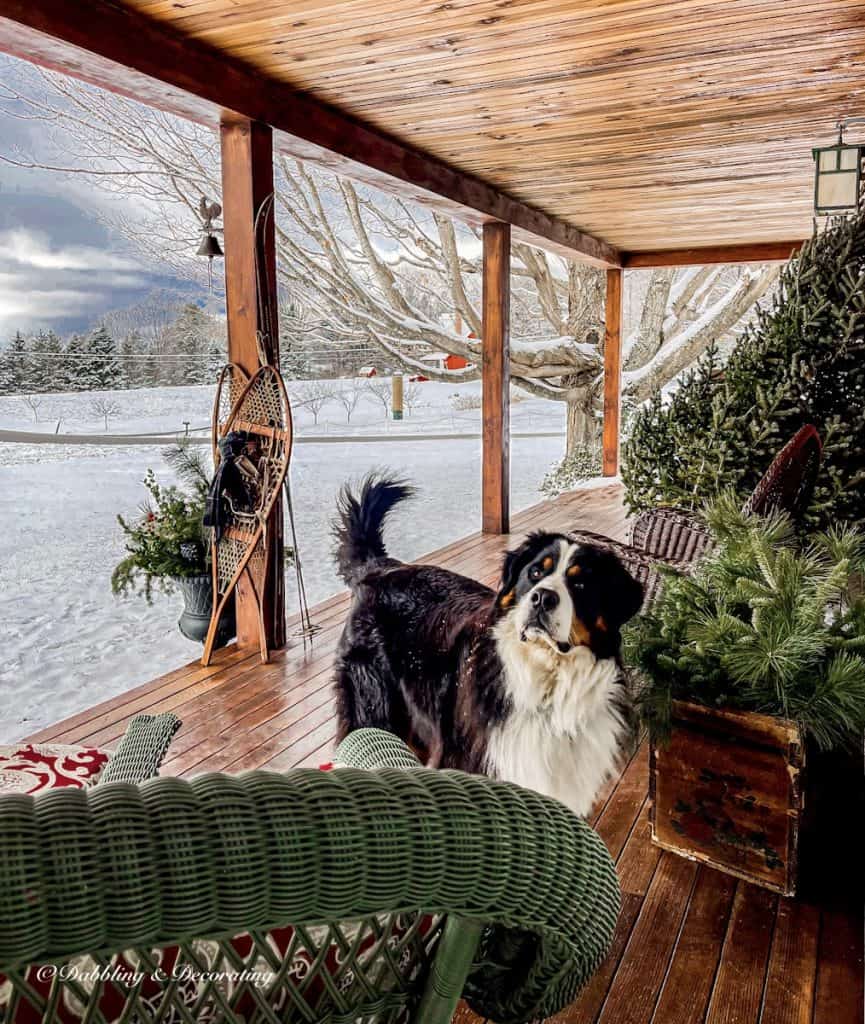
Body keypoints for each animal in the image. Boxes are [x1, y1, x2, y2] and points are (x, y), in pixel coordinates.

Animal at [331, 471, 642, 815]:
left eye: (581, 584)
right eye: (536, 572)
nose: (543, 598)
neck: (547, 683)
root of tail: (382, 567)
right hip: (375, 706)